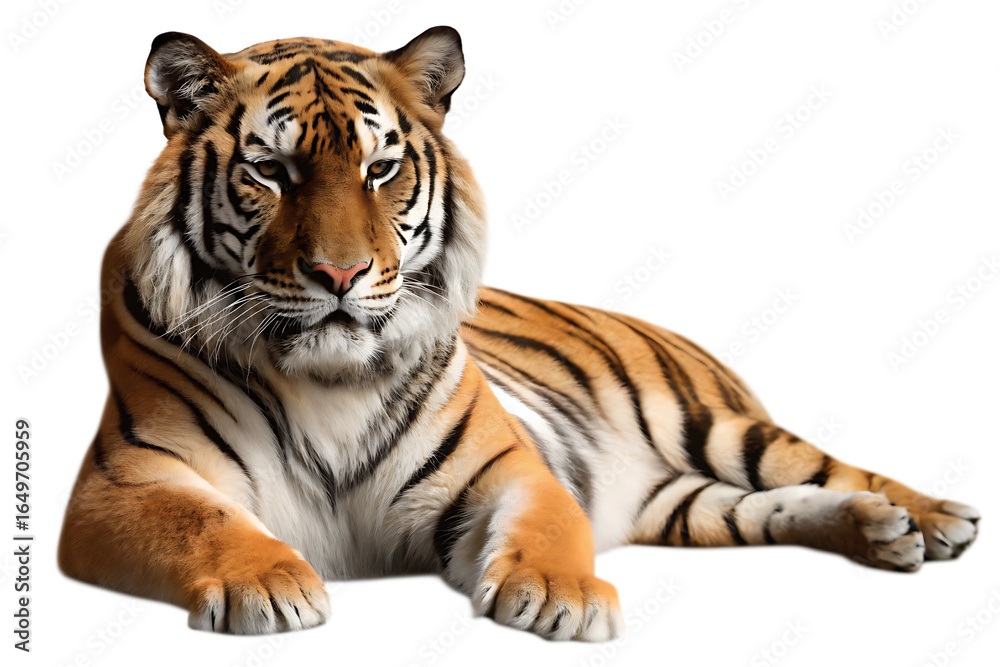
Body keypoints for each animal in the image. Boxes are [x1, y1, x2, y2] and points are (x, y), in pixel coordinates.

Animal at [58, 26, 980, 641]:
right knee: (767, 504)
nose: (340, 274)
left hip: (714, 426)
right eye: (269, 171)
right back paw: (877, 529)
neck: (327, 382)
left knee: (826, 465)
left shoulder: (508, 467)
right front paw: (272, 583)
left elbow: (547, 526)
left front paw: (557, 595)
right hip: (679, 501)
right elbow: (204, 521)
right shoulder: (127, 479)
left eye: (380, 170)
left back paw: (935, 519)